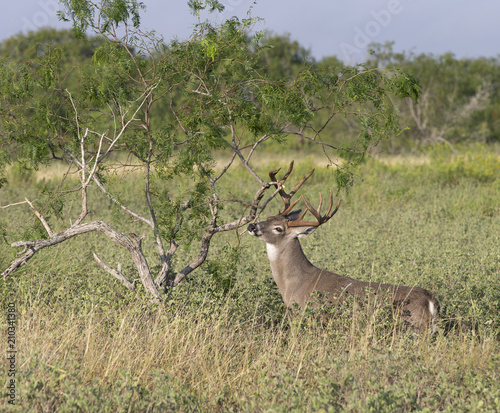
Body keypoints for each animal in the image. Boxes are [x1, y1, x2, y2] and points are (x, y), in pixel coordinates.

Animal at [248, 162, 440, 332]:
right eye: (268, 217)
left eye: (278, 228)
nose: (252, 226)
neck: (295, 283)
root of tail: (430, 300)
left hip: (413, 328)